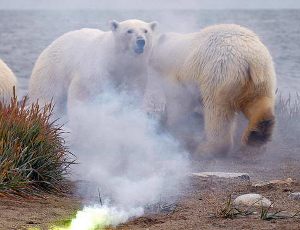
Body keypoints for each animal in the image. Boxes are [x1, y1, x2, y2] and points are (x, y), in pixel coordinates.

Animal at [28, 19, 157, 116]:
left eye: (146, 31)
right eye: (129, 31)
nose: (141, 41)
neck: (117, 60)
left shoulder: (136, 72)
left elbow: (132, 93)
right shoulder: (97, 66)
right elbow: (84, 91)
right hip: (52, 71)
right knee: (47, 95)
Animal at [150, 23, 276, 156]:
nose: (148, 59)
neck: (172, 50)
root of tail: (251, 60)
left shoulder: (179, 75)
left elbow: (179, 100)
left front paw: (170, 122)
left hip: (219, 74)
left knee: (217, 112)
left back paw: (207, 149)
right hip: (262, 78)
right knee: (258, 101)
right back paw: (257, 133)